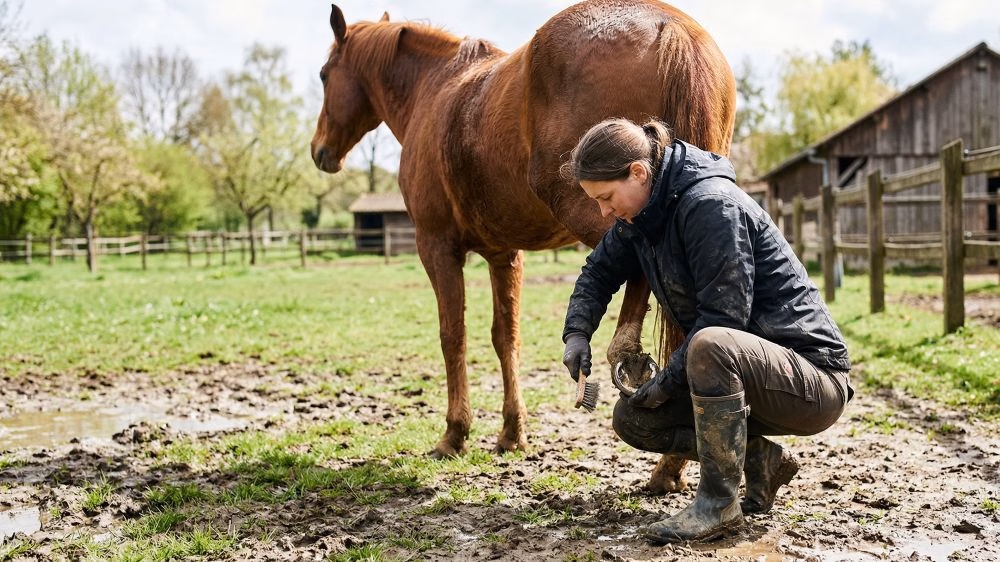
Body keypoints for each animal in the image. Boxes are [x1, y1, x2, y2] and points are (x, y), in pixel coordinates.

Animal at [311, 0, 735, 492]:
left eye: (324, 75)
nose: (320, 151)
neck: (433, 91)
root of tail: (670, 25)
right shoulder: (504, 256)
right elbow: (505, 337)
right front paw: (512, 432)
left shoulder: (436, 247)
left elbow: (452, 336)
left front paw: (454, 434)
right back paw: (673, 462)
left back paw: (633, 369)